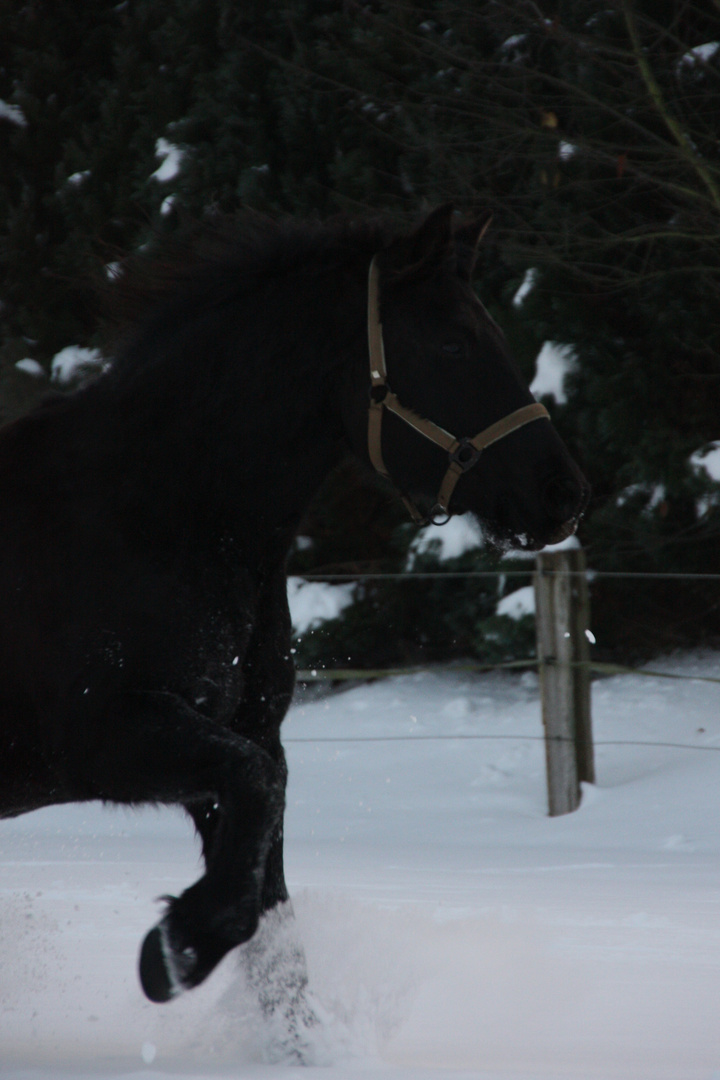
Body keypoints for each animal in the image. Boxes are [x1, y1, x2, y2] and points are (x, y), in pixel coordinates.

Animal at [0, 208, 587, 1002]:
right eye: (452, 342)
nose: (563, 493)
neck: (158, 511)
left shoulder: (241, 740)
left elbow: (273, 920)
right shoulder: (108, 735)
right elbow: (255, 807)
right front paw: (174, 952)